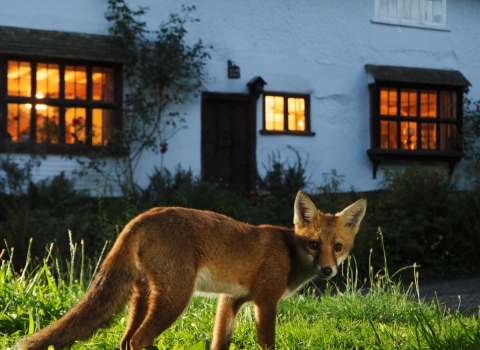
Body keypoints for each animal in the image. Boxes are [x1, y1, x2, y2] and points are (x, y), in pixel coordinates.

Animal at [16, 191, 366, 350]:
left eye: (337, 247)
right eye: (313, 245)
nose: (327, 271)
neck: (289, 252)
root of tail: (143, 216)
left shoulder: (231, 300)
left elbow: (220, 343)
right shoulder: (266, 301)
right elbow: (268, 344)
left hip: (142, 298)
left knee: (126, 341)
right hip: (175, 298)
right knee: (139, 340)